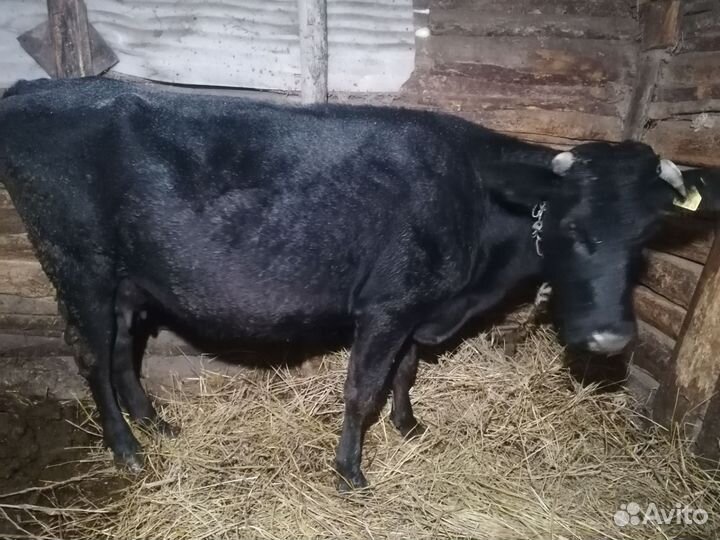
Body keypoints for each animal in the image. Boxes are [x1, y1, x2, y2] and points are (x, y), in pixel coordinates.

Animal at [0, 77, 708, 491]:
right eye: (568, 226)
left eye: (647, 235)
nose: (610, 338)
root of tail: (37, 88)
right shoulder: (389, 303)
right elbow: (361, 388)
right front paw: (350, 471)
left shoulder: (420, 305)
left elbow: (407, 369)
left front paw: (408, 425)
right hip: (78, 264)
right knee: (92, 355)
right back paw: (126, 449)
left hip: (129, 279)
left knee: (123, 346)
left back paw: (156, 424)